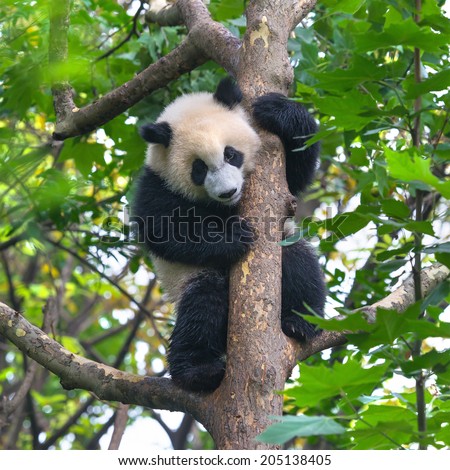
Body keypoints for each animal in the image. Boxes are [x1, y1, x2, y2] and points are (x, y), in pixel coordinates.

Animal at [132, 78, 326, 392]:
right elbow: (163, 229)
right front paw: (235, 237)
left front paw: (277, 111)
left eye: (230, 154)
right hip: (189, 278)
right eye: (199, 168)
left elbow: (297, 173)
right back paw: (198, 371)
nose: (228, 192)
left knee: (299, 265)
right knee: (203, 304)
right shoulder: (157, 185)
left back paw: (300, 322)